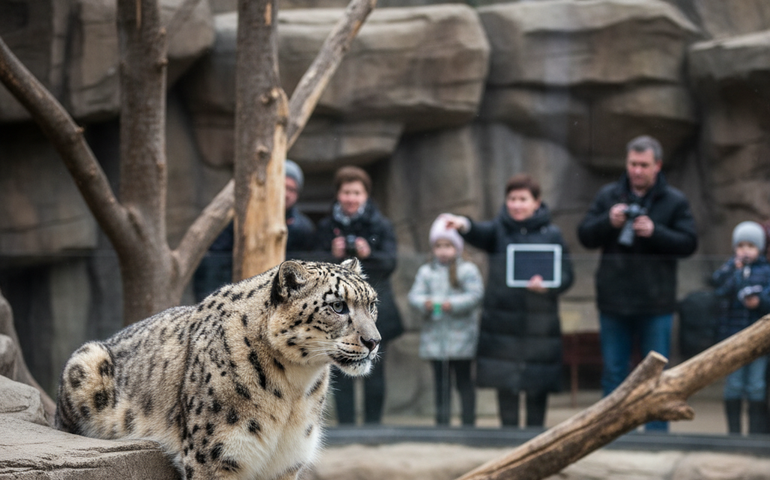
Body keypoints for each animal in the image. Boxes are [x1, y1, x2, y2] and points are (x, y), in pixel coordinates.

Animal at [55, 258, 380, 480]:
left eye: (372, 304)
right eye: (338, 306)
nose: (374, 341)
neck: (294, 390)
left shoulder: (287, 462)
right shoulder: (213, 457)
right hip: (86, 360)